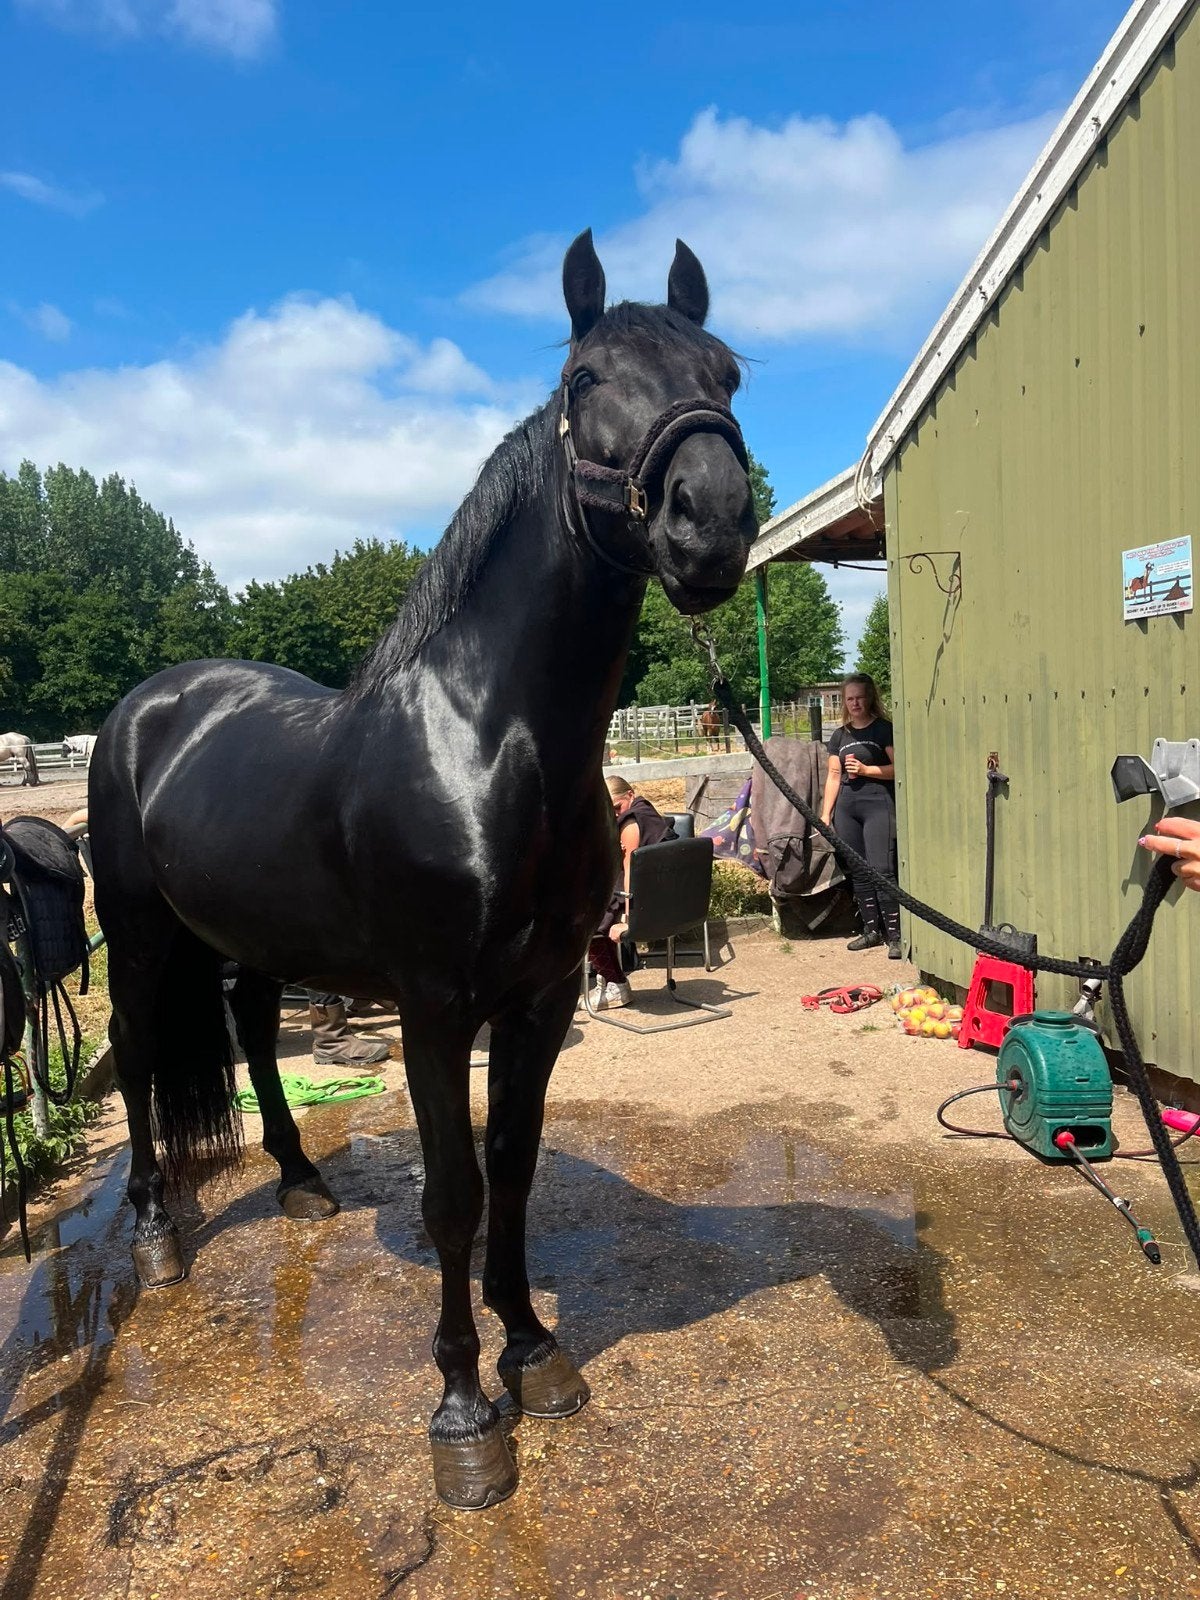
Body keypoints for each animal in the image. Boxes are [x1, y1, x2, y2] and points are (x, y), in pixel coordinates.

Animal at [88, 228, 756, 1511]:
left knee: (255, 1033)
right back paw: (154, 1235)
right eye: (587, 378)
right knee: (140, 1059)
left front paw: (533, 1350)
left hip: (252, 941)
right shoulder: (436, 1012)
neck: (489, 741)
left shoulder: (541, 999)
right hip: (140, 933)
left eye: (728, 373)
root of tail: (149, 706)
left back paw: (301, 1181)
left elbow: (515, 1170)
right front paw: (463, 1413)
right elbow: (453, 1199)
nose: (713, 521)